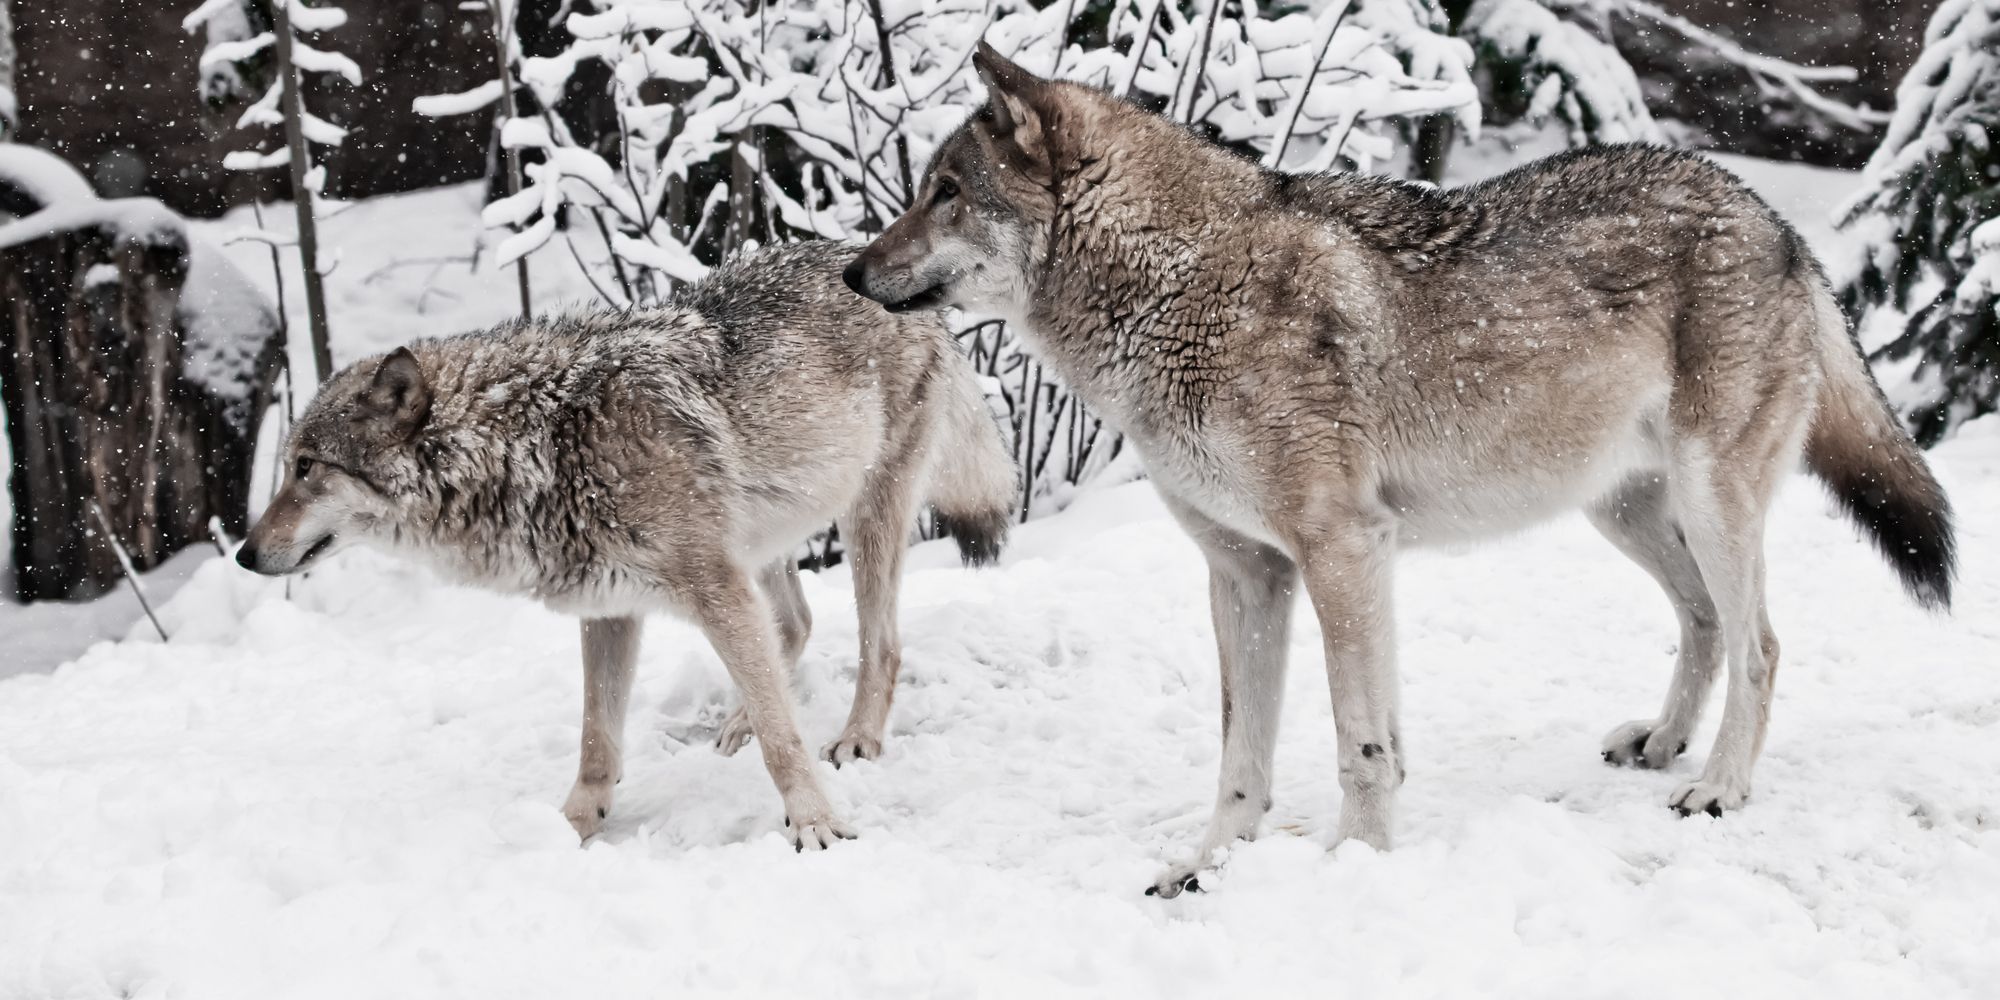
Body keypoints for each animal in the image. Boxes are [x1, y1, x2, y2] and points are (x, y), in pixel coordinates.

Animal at [236, 240, 1016, 844]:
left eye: (307, 468)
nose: (244, 554)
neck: (537, 442)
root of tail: (874, 265)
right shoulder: (609, 608)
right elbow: (595, 740)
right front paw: (572, 828)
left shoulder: (711, 588)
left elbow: (784, 740)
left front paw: (815, 824)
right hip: (762, 538)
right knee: (794, 625)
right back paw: (737, 720)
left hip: (862, 518)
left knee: (877, 647)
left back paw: (857, 738)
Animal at [840, 43, 1952, 896]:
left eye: (944, 194)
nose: (850, 271)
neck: (1175, 286)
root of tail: (1772, 215)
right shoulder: (1246, 575)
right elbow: (1240, 759)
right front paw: (1207, 867)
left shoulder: (1343, 551)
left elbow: (1360, 743)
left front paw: (1357, 866)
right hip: (1625, 514)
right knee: (1706, 622)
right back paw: (1665, 744)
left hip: (1709, 505)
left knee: (1761, 640)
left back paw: (1717, 786)